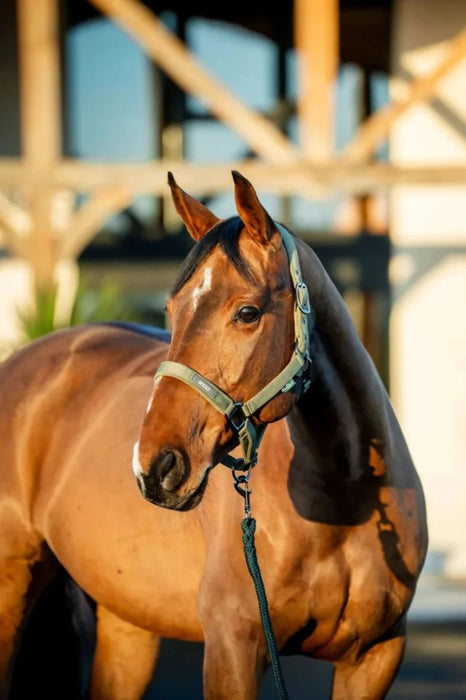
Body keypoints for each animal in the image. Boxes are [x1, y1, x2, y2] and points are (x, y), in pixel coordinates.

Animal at [0, 171, 426, 700]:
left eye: (247, 312)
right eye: (171, 308)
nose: (153, 467)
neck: (345, 502)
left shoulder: (374, 658)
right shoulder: (233, 647)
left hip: (128, 622)